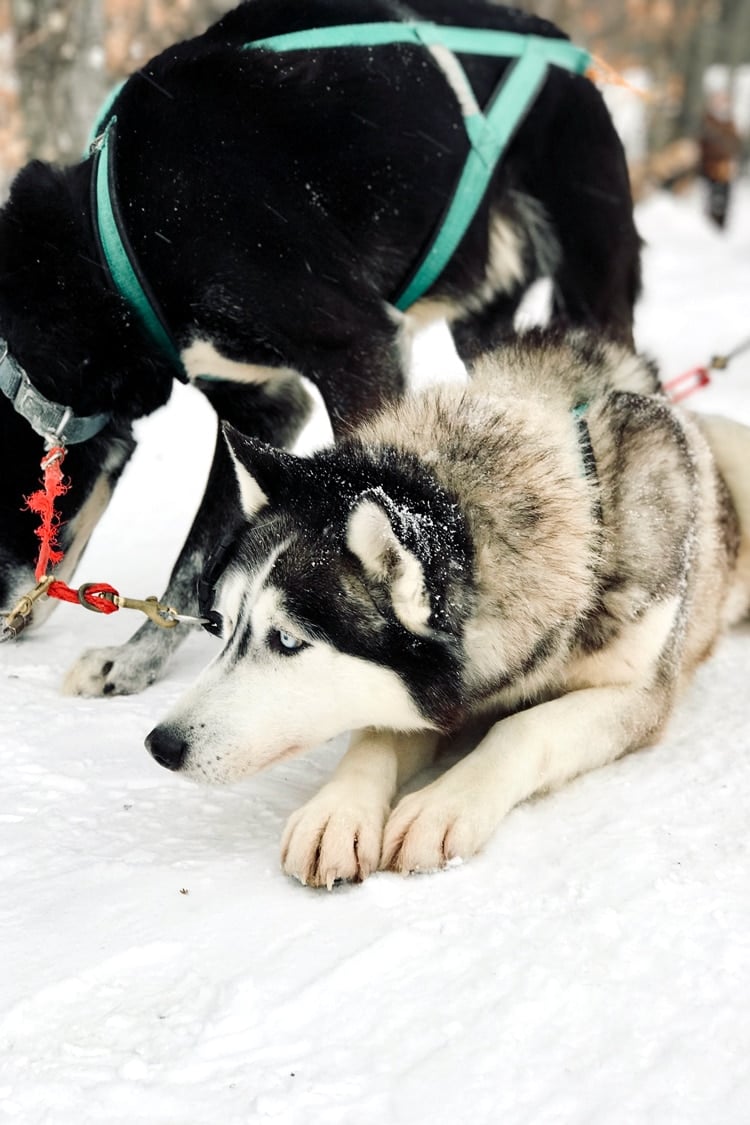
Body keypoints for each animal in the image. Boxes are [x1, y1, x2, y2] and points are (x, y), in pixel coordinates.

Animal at [0, 0, 638, 693]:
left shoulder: (356, 350)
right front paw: (138, 657)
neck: (120, 235)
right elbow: (199, 556)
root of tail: (563, 46)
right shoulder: (260, 403)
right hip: (483, 334)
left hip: (592, 292)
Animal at [145, 333, 750, 886]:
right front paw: (338, 810)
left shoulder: (637, 693)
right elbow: (379, 734)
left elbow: (524, 728)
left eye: (289, 640)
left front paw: (444, 804)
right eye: (221, 625)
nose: (160, 746)